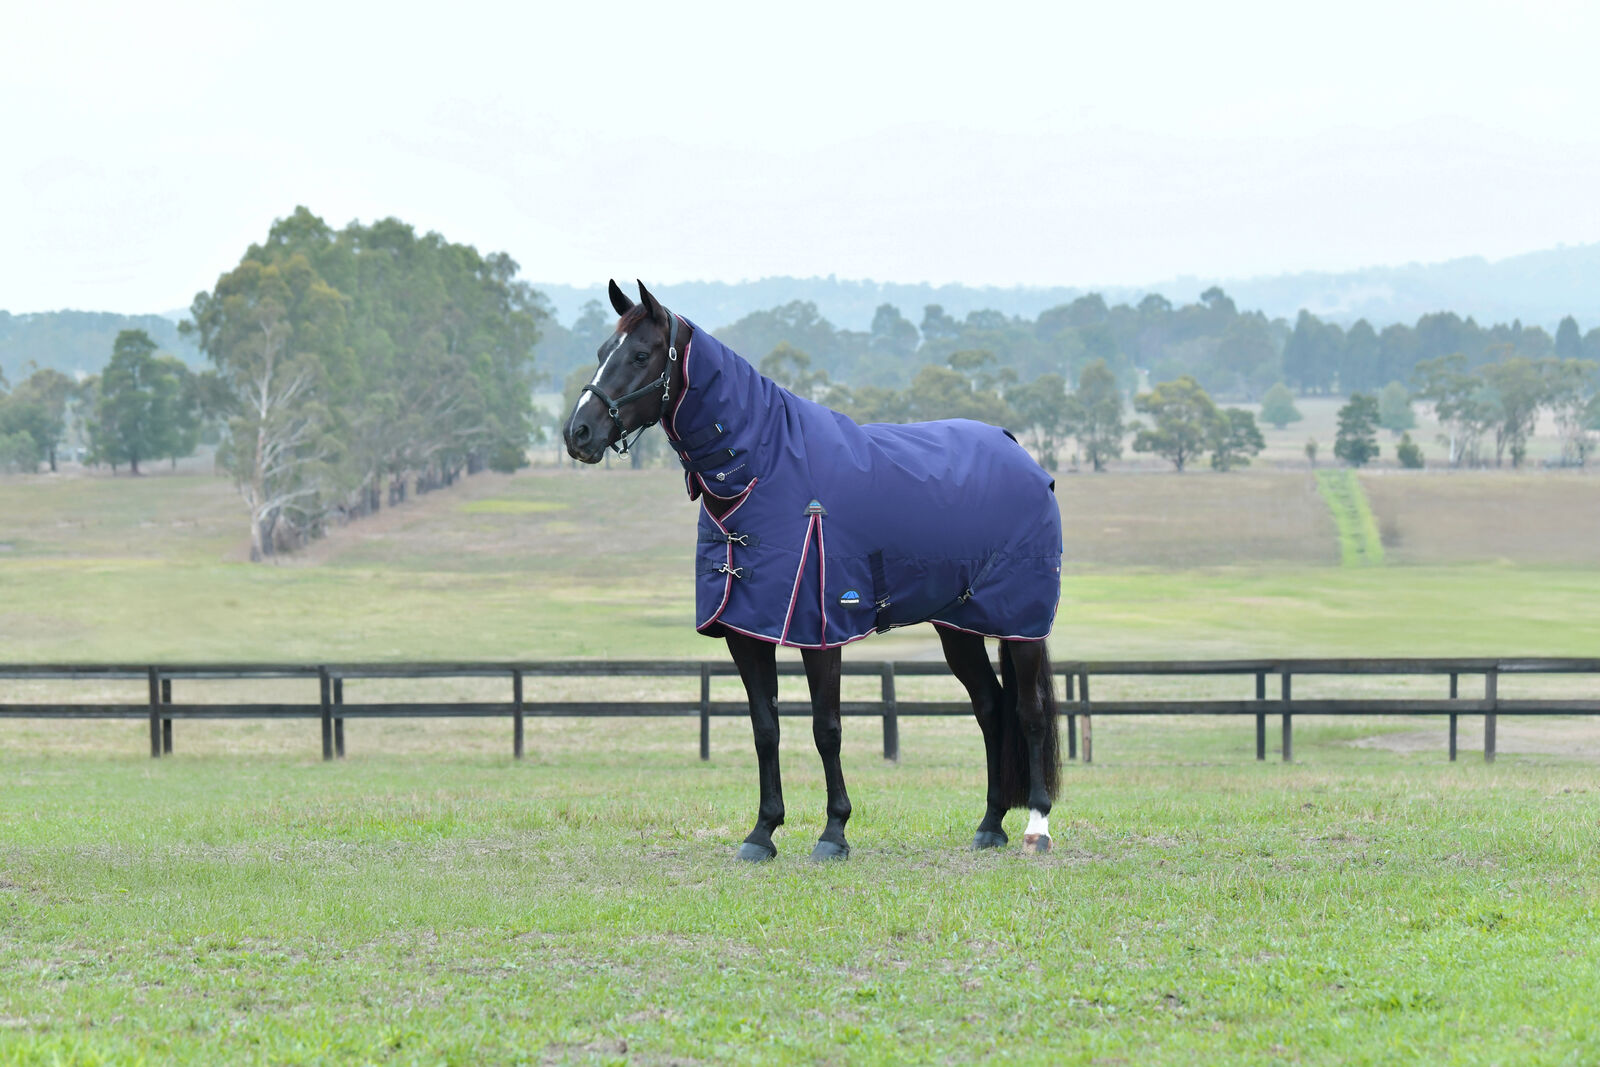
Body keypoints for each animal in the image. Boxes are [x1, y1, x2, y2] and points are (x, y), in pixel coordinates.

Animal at [564, 280, 1063, 862]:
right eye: (603, 351)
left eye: (641, 355)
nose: (578, 432)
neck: (765, 470)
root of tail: (1018, 452)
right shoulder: (746, 631)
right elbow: (765, 728)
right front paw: (762, 832)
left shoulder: (820, 630)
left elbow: (827, 728)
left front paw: (834, 832)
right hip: (957, 627)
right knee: (990, 707)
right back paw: (989, 825)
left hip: (1021, 625)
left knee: (1028, 712)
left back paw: (1036, 827)